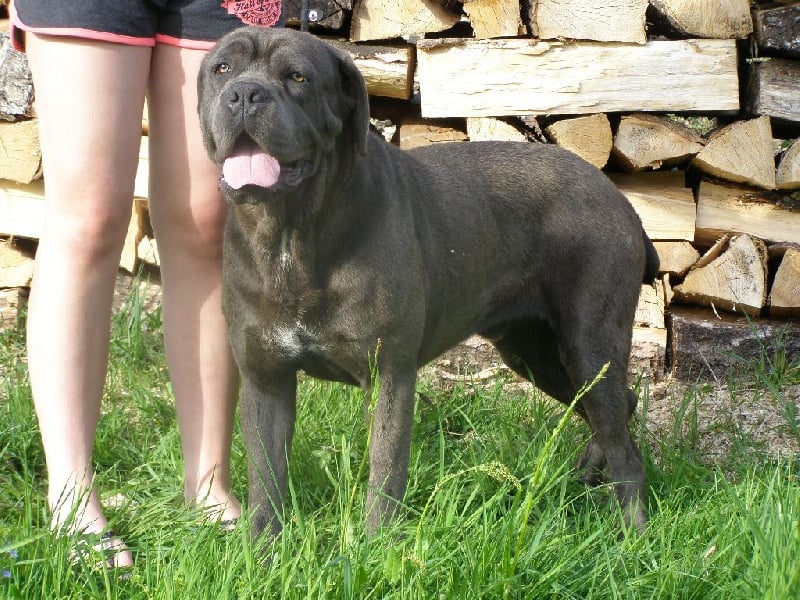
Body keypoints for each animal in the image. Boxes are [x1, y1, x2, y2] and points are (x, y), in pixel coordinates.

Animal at [197, 27, 659, 538]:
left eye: (297, 77)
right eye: (222, 69)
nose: (244, 94)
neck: (290, 233)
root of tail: (621, 199)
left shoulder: (389, 373)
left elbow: (385, 469)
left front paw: (375, 545)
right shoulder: (266, 379)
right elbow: (266, 476)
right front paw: (262, 547)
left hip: (589, 345)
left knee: (621, 443)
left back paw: (634, 532)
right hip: (533, 353)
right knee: (617, 409)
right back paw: (586, 476)